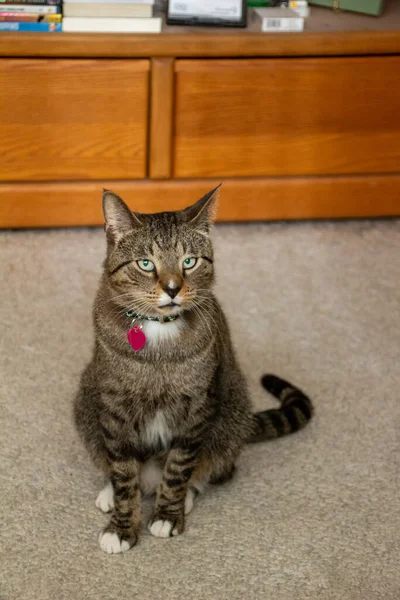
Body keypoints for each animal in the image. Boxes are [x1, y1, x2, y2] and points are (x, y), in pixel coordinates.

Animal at [73, 186, 314, 552]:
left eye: (189, 261)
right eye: (146, 263)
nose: (173, 288)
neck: (158, 335)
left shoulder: (197, 406)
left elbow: (178, 467)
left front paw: (168, 514)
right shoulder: (115, 405)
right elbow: (123, 471)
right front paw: (122, 524)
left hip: (231, 410)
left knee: (213, 468)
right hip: (86, 397)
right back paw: (109, 491)